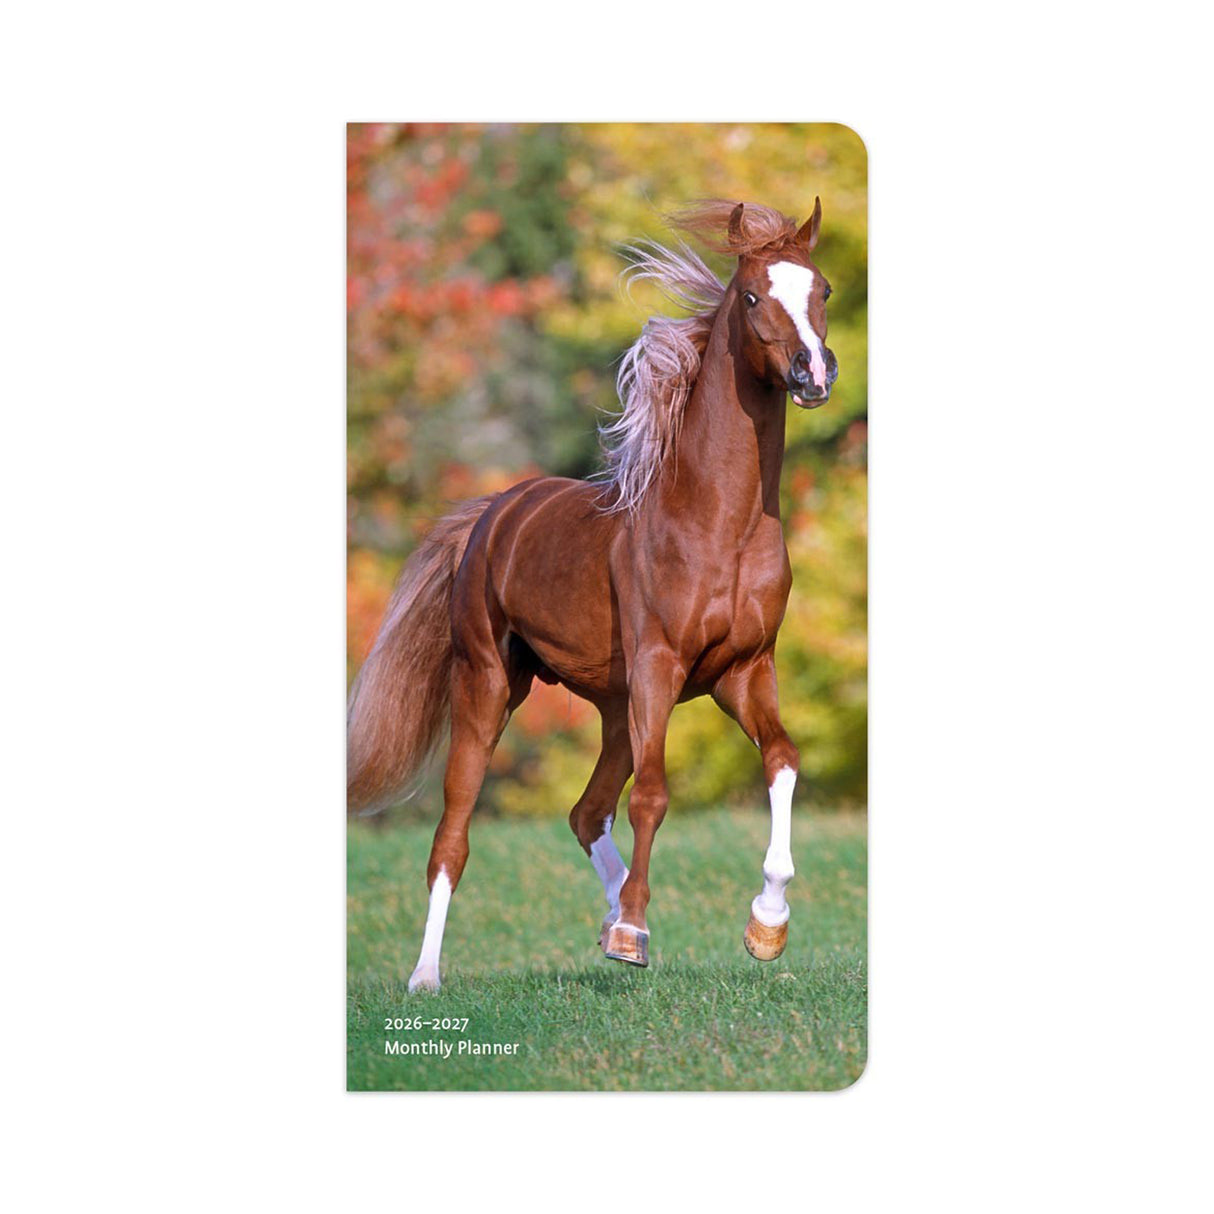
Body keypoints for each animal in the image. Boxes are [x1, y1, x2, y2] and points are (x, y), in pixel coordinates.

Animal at [347, 198, 839, 992]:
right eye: (751, 296)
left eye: (821, 288)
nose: (814, 372)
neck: (718, 522)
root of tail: (493, 513)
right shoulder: (660, 668)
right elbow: (654, 796)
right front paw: (634, 932)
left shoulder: (743, 671)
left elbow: (783, 760)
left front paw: (766, 926)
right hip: (491, 686)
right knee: (453, 837)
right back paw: (429, 975)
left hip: (614, 708)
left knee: (585, 813)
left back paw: (609, 921)